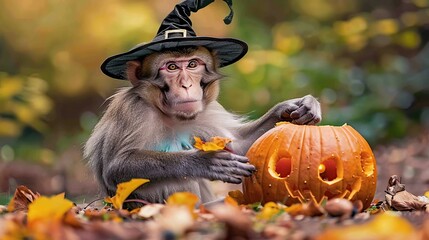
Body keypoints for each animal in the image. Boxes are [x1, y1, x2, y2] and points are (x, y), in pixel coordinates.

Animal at [83, 46, 320, 205]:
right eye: (171, 67)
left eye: (192, 64)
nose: (187, 85)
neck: (171, 116)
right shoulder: (134, 110)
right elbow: (116, 167)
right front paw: (204, 161)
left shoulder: (207, 110)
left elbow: (241, 146)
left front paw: (298, 106)